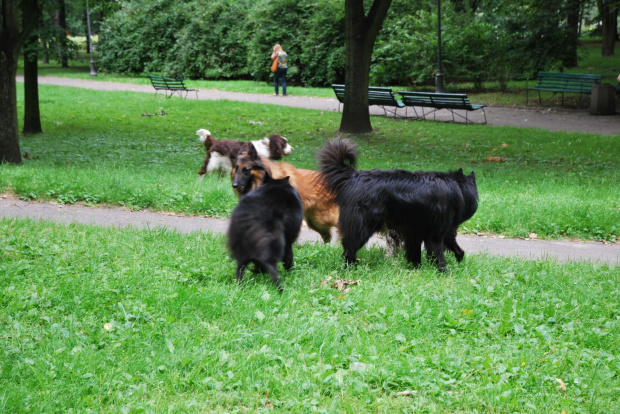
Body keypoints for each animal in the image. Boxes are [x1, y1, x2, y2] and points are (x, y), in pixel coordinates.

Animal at [318, 139, 478, 272]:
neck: (456, 187)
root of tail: (354, 176)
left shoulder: (415, 233)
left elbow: (416, 253)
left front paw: (416, 269)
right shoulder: (435, 234)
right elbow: (438, 254)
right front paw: (443, 271)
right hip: (363, 227)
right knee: (348, 248)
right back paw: (351, 267)